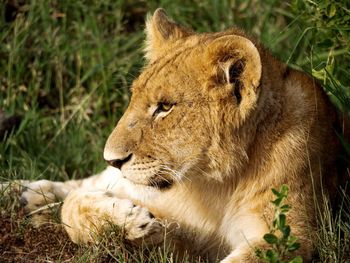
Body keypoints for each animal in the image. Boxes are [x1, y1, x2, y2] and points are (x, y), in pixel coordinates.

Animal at [14, 7, 344, 262]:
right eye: (134, 98)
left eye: (164, 107)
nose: (112, 159)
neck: (216, 185)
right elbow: (71, 209)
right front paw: (132, 220)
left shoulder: (289, 236)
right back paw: (23, 191)